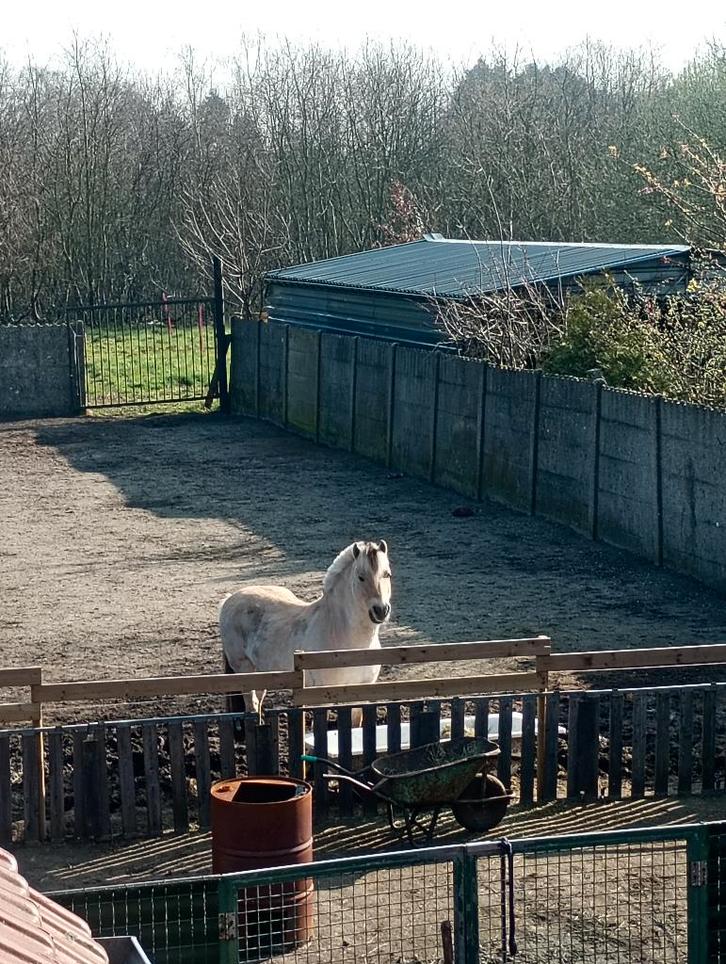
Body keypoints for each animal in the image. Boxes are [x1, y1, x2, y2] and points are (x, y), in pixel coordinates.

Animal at [220, 540, 392, 724]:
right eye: (361, 577)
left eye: (387, 574)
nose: (381, 610)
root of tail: (229, 600)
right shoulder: (322, 694)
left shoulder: (360, 693)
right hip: (245, 670)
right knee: (251, 705)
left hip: (262, 672)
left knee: (258, 702)